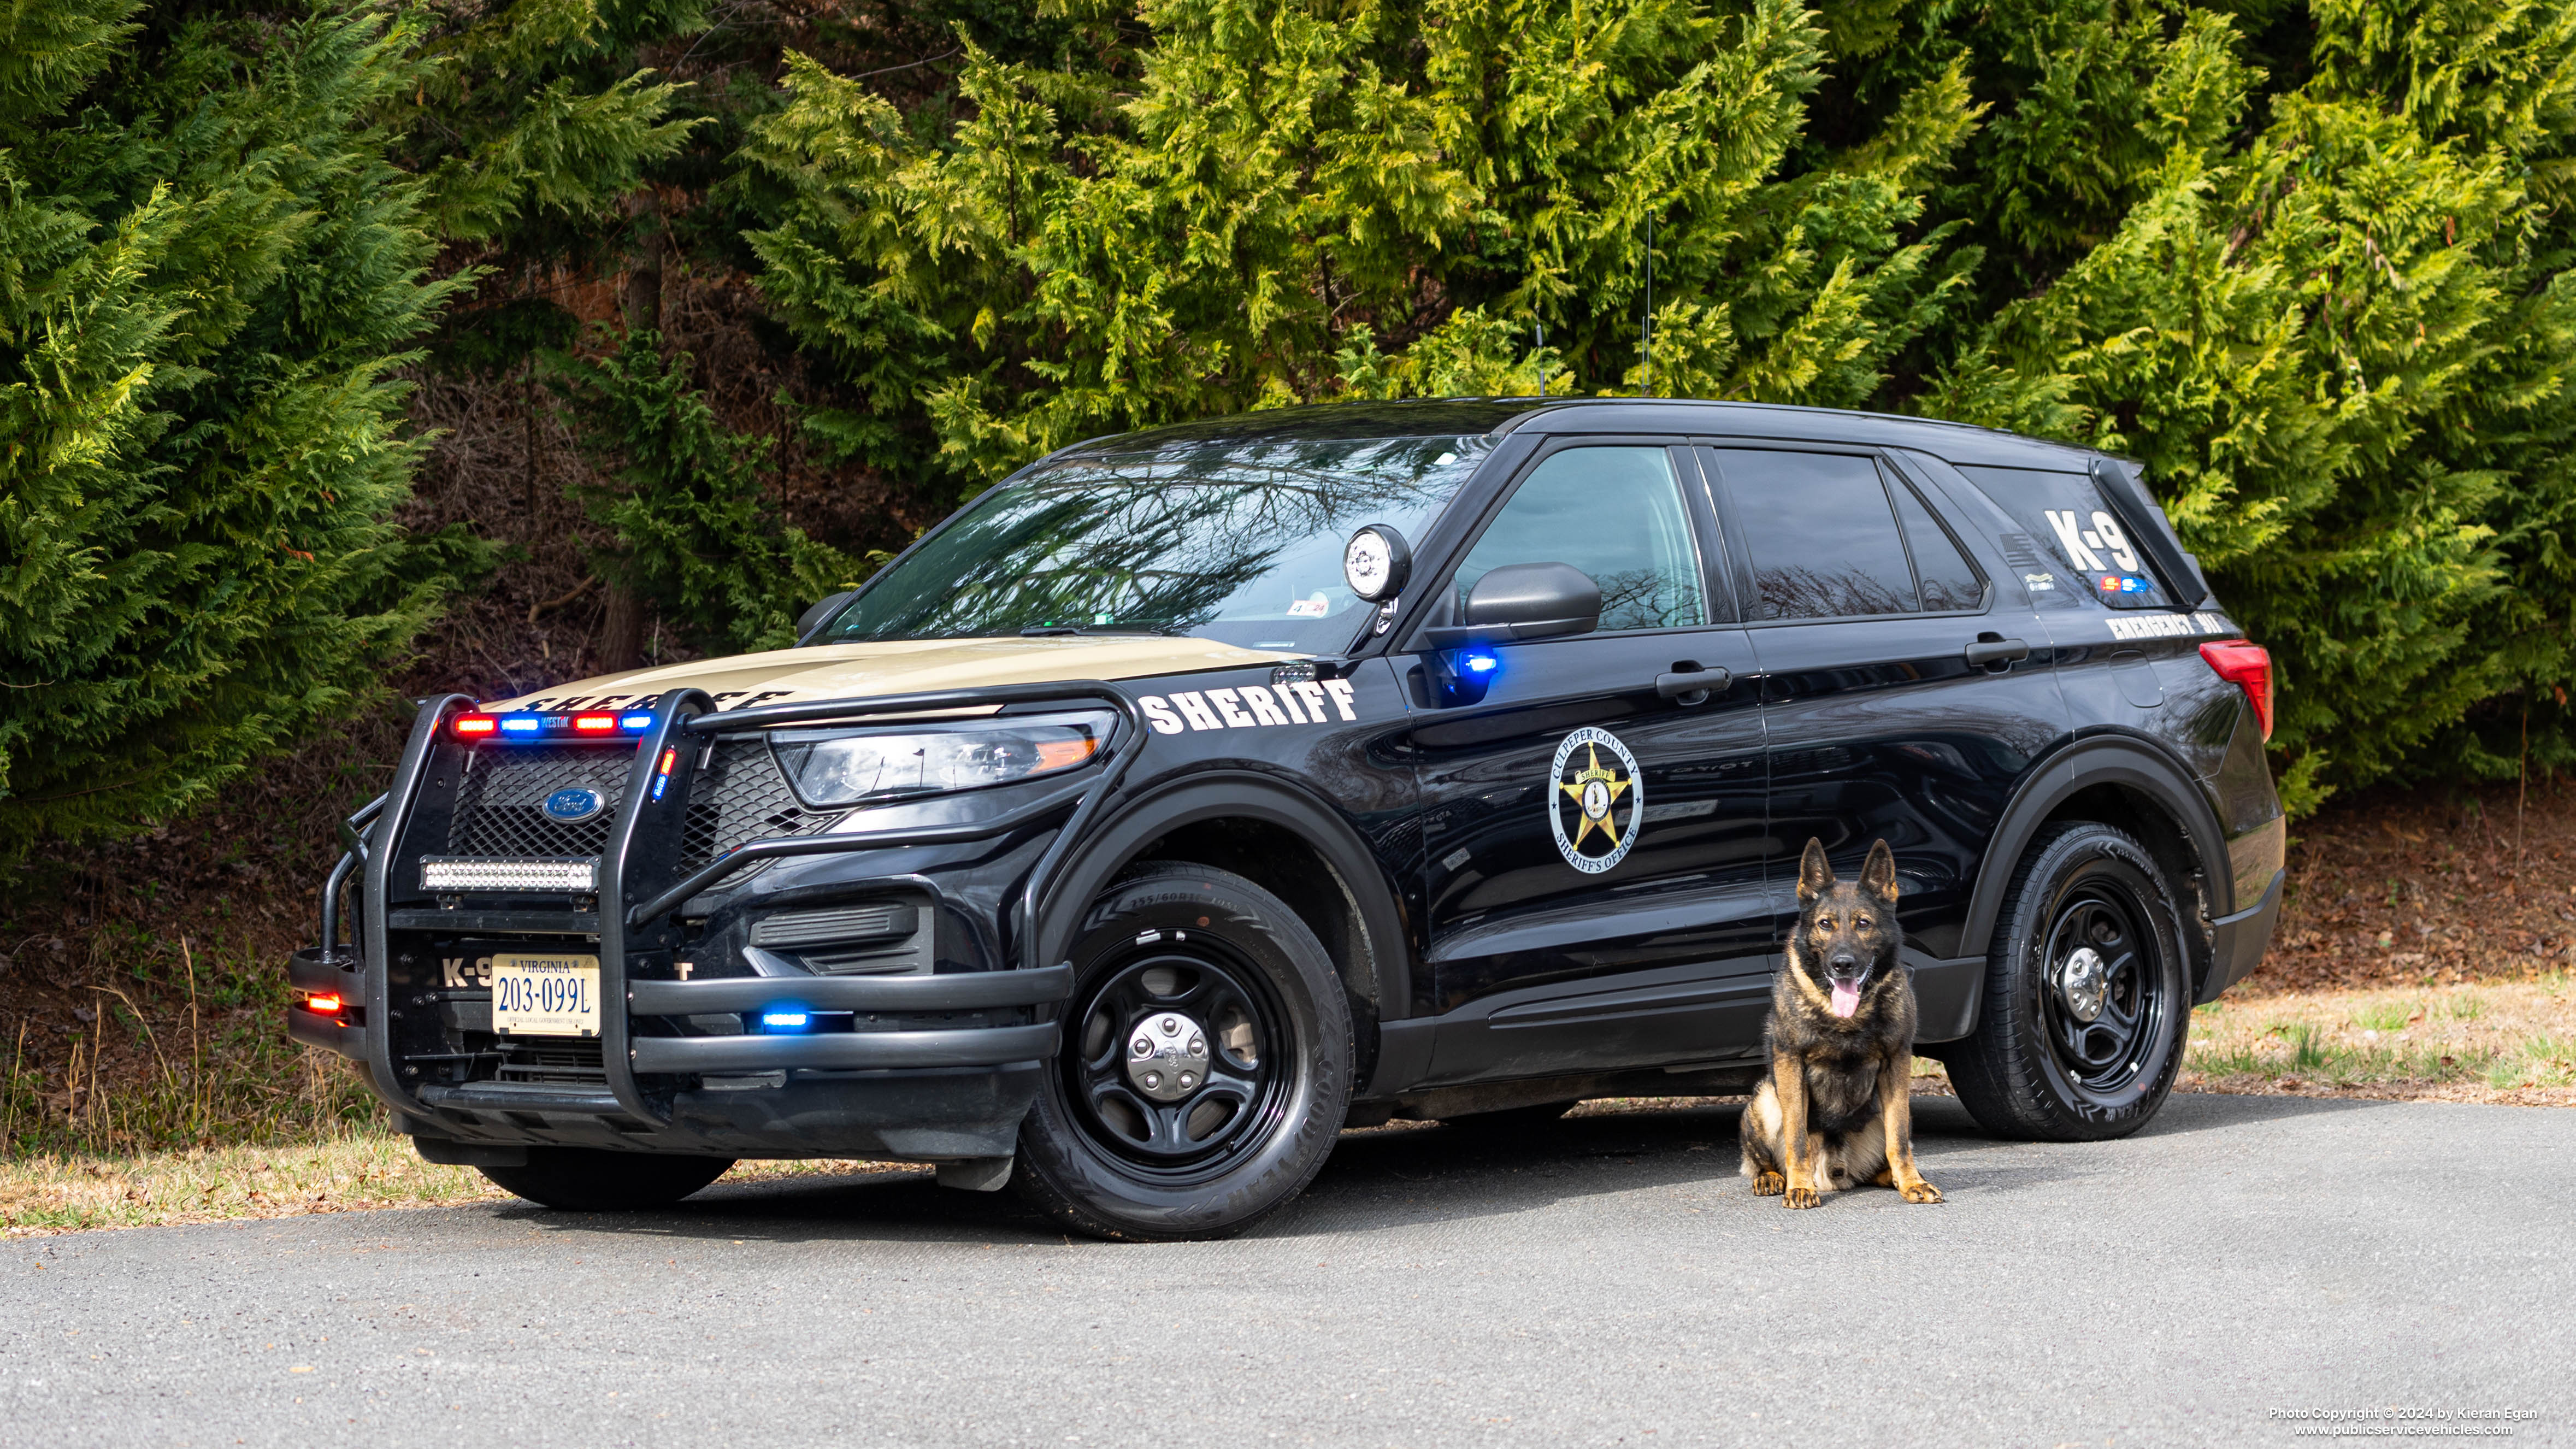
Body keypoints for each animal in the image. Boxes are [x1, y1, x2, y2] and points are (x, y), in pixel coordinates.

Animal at [1741, 835, 1937, 1206]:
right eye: (1825, 924)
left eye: (1863, 924)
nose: (1842, 964)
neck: (1847, 1017)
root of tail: (1833, 1172)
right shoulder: (1791, 1065)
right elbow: (1797, 1137)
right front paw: (1799, 1187)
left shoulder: (1897, 1064)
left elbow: (1899, 1140)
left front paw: (1911, 1182)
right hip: (1766, 1099)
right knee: (1762, 1158)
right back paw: (1774, 1178)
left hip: (1887, 1109)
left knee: (1886, 1154)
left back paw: (1895, 1178)